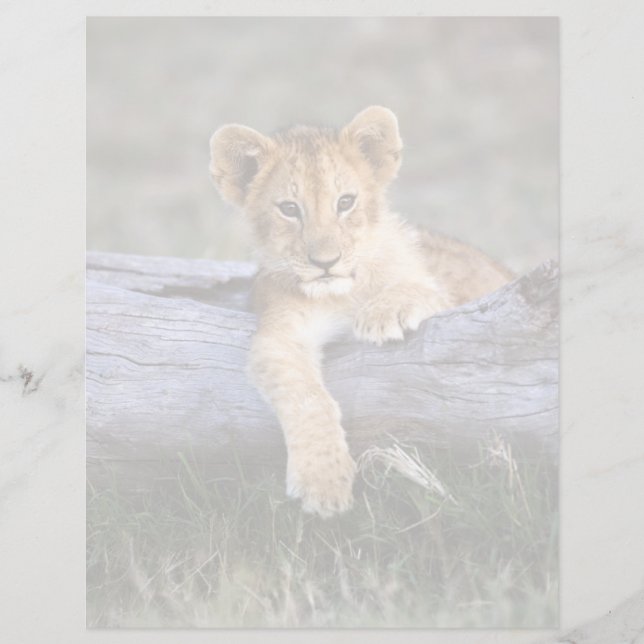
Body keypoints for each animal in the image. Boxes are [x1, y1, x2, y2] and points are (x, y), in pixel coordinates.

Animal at [209, 106, 512, 517]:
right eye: (289, 209)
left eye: (345, 202)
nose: (326, 262)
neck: (343, 294)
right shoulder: (280, 334)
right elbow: (306, 397)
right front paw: (323, 482)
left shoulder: (449, 299)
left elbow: (421, 288)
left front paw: (385, 312)